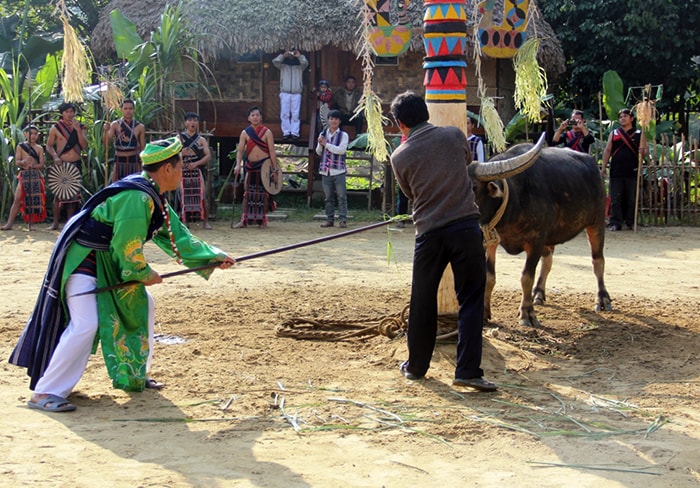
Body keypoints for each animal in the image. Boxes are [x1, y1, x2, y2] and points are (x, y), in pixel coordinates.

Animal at [470, 136, 612, 328]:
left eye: (474, 186)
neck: (514, 201)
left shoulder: (535, 241)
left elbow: (526, 277)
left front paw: (526, 314)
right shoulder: (490, 240)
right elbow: (489, 277)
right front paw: (484, 313)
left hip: (596, 222)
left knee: (598, 261)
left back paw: (602, 299)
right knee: (548, 260)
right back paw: (538, 293)